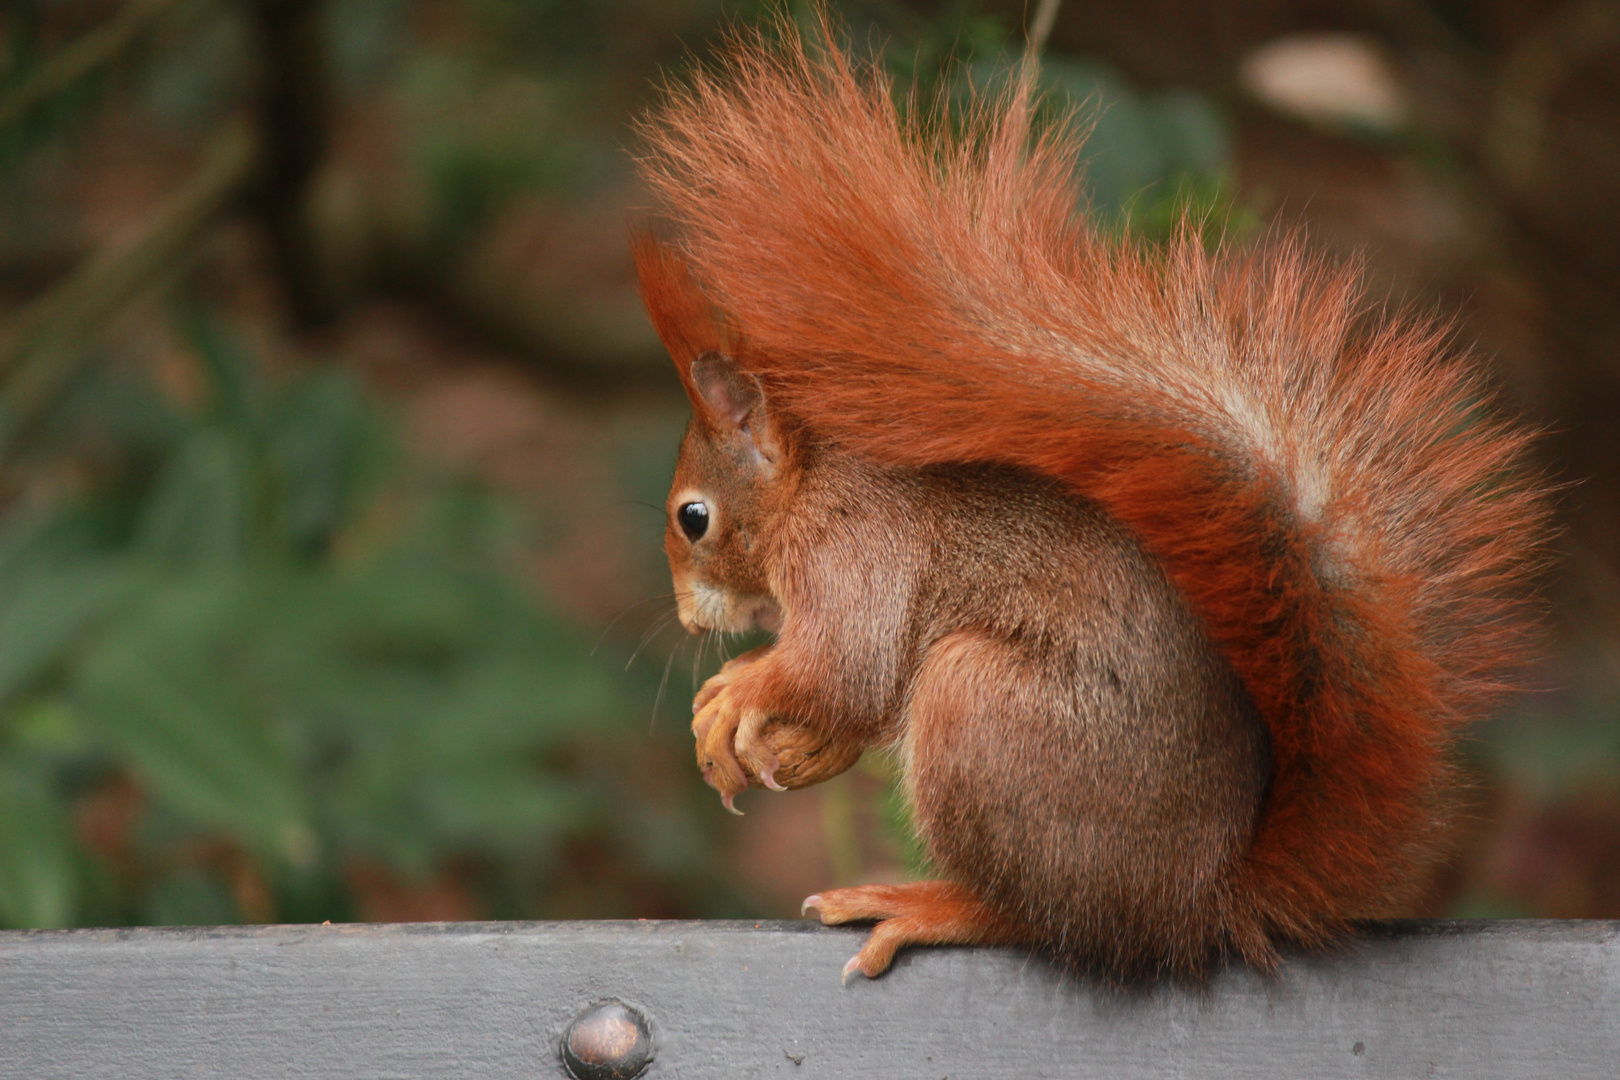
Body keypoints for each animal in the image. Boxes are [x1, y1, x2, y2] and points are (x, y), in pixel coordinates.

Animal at [625, 21, 1548, 984]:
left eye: (693, 518)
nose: (689, 622)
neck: (812, 488)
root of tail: (1197, 902)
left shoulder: (854, 552)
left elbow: (847, 663)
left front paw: (735, 689)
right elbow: (859, 699)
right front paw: (793, 742)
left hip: (981, 708)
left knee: (1045, 921)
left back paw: (929, 905)